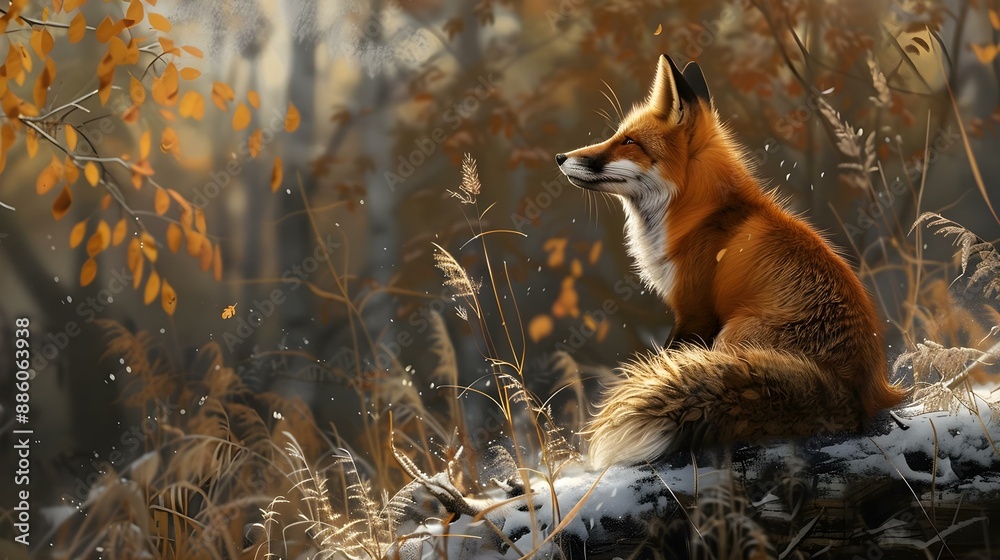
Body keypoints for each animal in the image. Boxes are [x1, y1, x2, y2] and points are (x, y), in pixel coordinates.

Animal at [555, 55, 908, 469]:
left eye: (628, 141)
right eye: (618, 136)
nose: (560, 157)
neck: (701, 213)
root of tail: (856, 396)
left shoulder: (694, 310)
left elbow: (669, 356)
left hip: (733, 334)